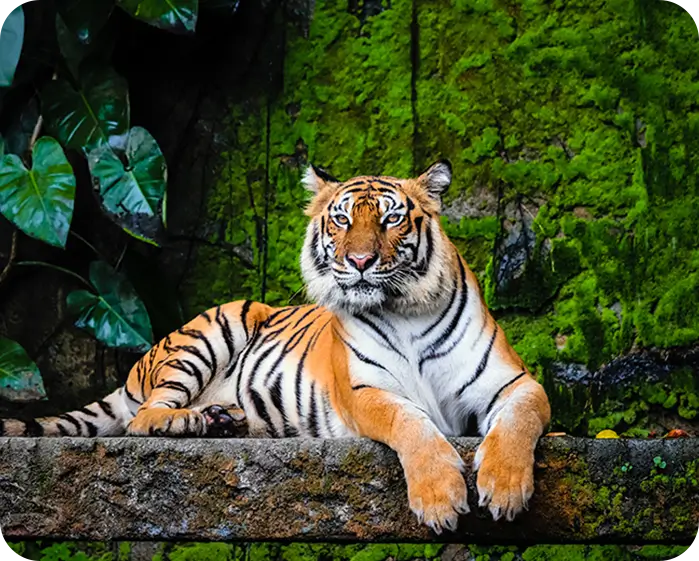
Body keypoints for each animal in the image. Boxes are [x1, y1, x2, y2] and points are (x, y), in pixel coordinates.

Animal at [0, 160, 551, 533]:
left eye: (392, 220)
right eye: (342, 220)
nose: (361, 262)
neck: (404, 309)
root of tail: (139, 364)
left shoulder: (514, 383)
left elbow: (518, 421)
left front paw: (504, 488)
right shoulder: (365, 391)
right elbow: (411, 425)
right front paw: (440, 499)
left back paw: (223, 419)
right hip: (214, 328)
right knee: (143, 417)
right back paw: (187, 420)